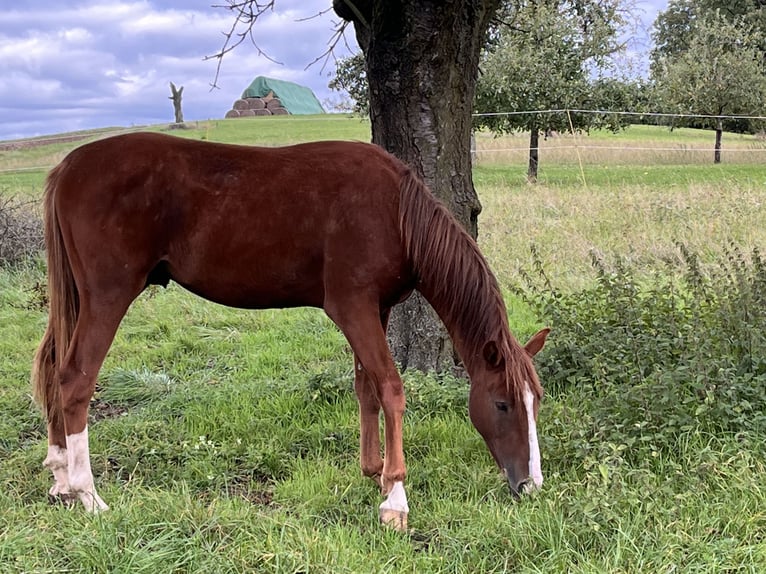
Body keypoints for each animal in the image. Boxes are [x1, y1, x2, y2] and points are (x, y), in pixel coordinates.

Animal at [31, 134, 544, 532]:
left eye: (535, 402)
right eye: (502, 404)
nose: (531, 485)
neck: (394, 213)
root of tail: (69, 166)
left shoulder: (373, 311)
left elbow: (367, 388)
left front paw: (372, 470)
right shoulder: (352, 308)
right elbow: (392, 389)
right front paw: (395, 497)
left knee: (55, 369)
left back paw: (59, 476)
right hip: (108, 296)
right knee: (75, 380)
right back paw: (87, 494)